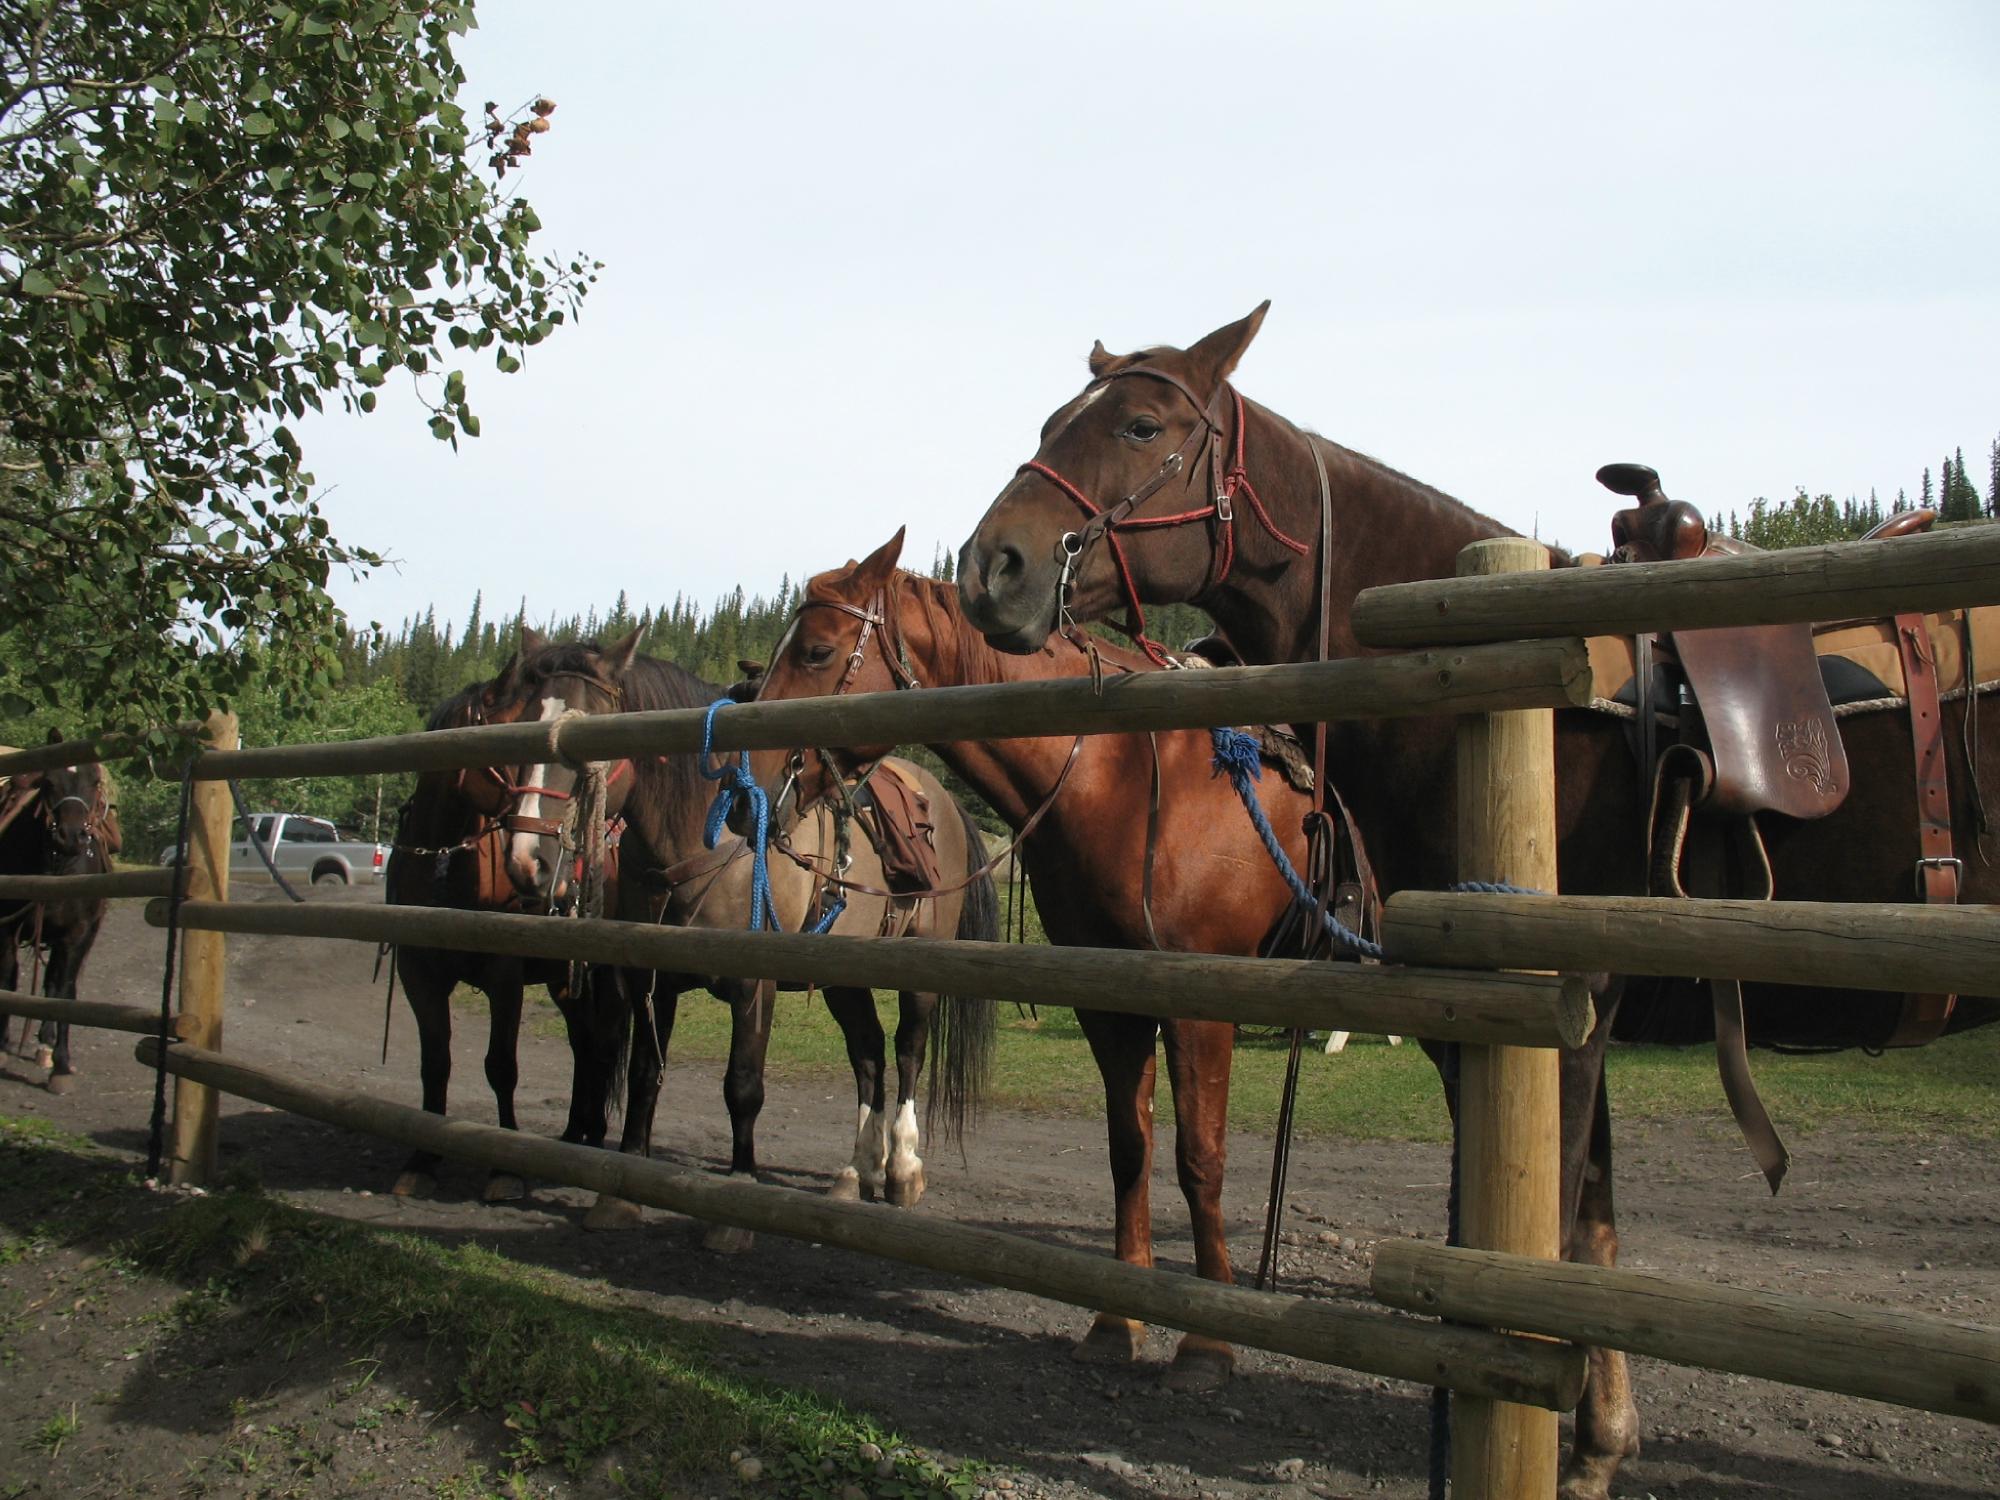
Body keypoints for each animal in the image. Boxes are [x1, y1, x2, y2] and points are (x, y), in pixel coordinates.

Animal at [0, 748, 117, 1096]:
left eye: (95, 781)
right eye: (49, 781)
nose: (70, 836)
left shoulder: (75, 935)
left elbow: (64, 991)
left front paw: (62, 1065)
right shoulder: (7, 929)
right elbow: (9, 980)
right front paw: (2, 1046)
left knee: (54, 983)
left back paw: (47, 1047)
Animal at [486, 636, 1000, 1248]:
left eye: (593, 742)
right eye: (522, 724)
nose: (526, 861)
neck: (700, 840)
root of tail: (943, 802)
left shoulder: (754, 984)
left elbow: (743, 1087)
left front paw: (735, 1208)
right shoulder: (650, 983)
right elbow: (644, 1077)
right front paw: (619, 1194)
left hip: (919, 969)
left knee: (907, 1051)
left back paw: (901, 1170)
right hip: (842, 977)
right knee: (868, 1054)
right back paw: (856, 1173)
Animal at [740, 532, 1360, 1400]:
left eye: (819, 651)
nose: (744, 793)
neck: (1124, 775)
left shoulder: (1201, 1008)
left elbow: (1200, 1160)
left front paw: (1207, 1341)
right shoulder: (1107, 1004)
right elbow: (1130, 1151)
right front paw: (1116, 1322)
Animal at [948, 300, 2000, 1496]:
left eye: (1137, 424)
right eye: (1052, 421)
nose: (990, 566)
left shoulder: (1549, 1005)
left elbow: (1545, 1230)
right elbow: (1583, 1227)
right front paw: (1595, 1445)